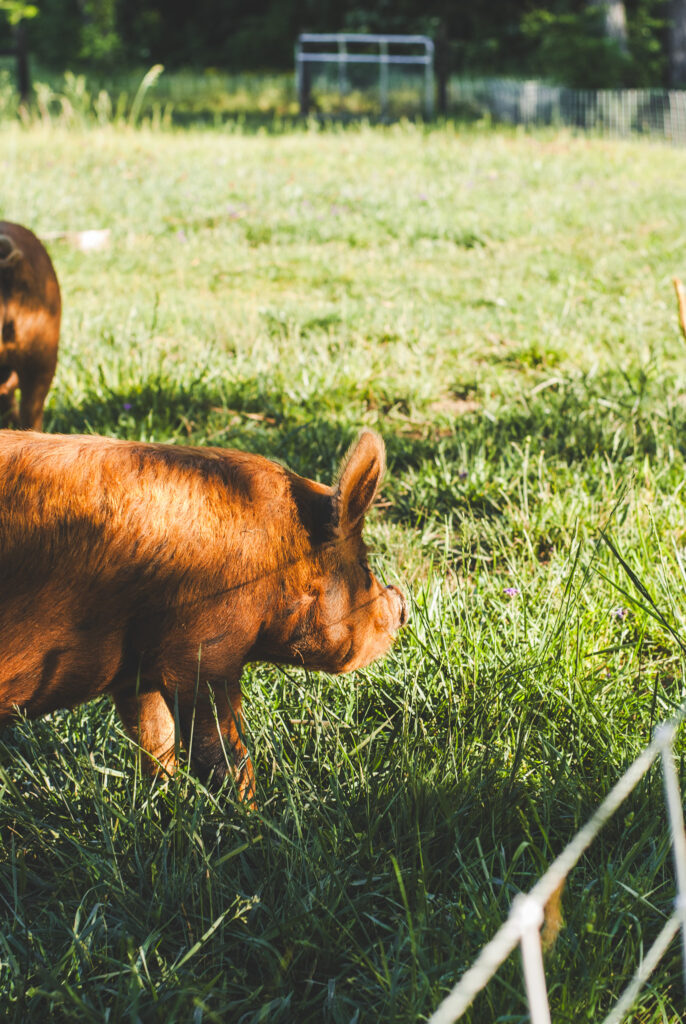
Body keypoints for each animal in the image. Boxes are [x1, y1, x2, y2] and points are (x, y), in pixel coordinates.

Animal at [0, 428, 409, 802]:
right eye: (364, 566)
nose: (404, 604)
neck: (274, 556)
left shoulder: (139, 669)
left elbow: (156, 739)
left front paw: (161, 801)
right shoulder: (203, 650)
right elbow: (223, 754)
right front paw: (250, 815)